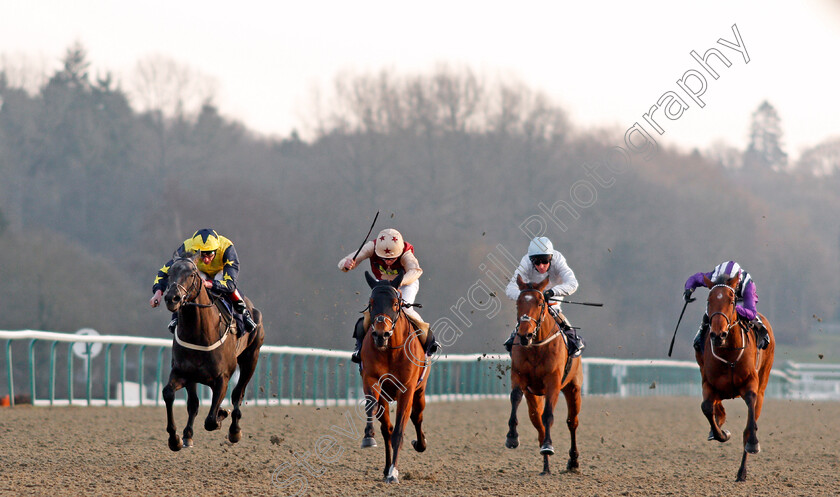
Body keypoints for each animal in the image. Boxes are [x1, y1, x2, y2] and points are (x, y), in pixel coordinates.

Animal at [158, 254, 262, 452]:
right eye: (169, 273)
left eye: (192, 274)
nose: (172, 298)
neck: (199, 333)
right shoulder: (183, 372)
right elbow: (170, 394)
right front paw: (175, 438)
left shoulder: (222, 378)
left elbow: (211, 420)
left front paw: (222, 413)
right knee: (194, 403)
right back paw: (188, 435)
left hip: (250, 359)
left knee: (238, 394)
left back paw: (234, 430)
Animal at [360, 270, 430, 482]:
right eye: (371, 302)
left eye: (395, 303)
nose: (380, 334)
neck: (390, 350)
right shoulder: (372, 380)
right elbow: (372, 409)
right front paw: (368, 437)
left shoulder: (406, 389)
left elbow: (400, 429)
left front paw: (393, 472)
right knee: (387, 429)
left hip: (420, 391)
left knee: (417, 416)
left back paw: (420, 444)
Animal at [506, 276, 584, 472]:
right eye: (518, 302)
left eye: (540, 302)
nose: (524, 335)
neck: (536, 346)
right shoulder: (519, 376)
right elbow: (515, 397)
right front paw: (512, 436)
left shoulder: (553, 383)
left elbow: (549, 414)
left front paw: (549, 446)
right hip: (533, 396)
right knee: (537, 421)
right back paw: (545, 467)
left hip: (573, 388)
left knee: (572, 422)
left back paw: (573, 461)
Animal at [696, 272, 776, 480]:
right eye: (709, 300)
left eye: (731, 300)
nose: (718, 334)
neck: (729, 352)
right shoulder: (709, 383)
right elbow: (707, 407)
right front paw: (721, 433)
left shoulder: (750, 384)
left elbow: (749, 422)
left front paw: (753, 443)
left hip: (763, 382)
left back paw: (742, 472)